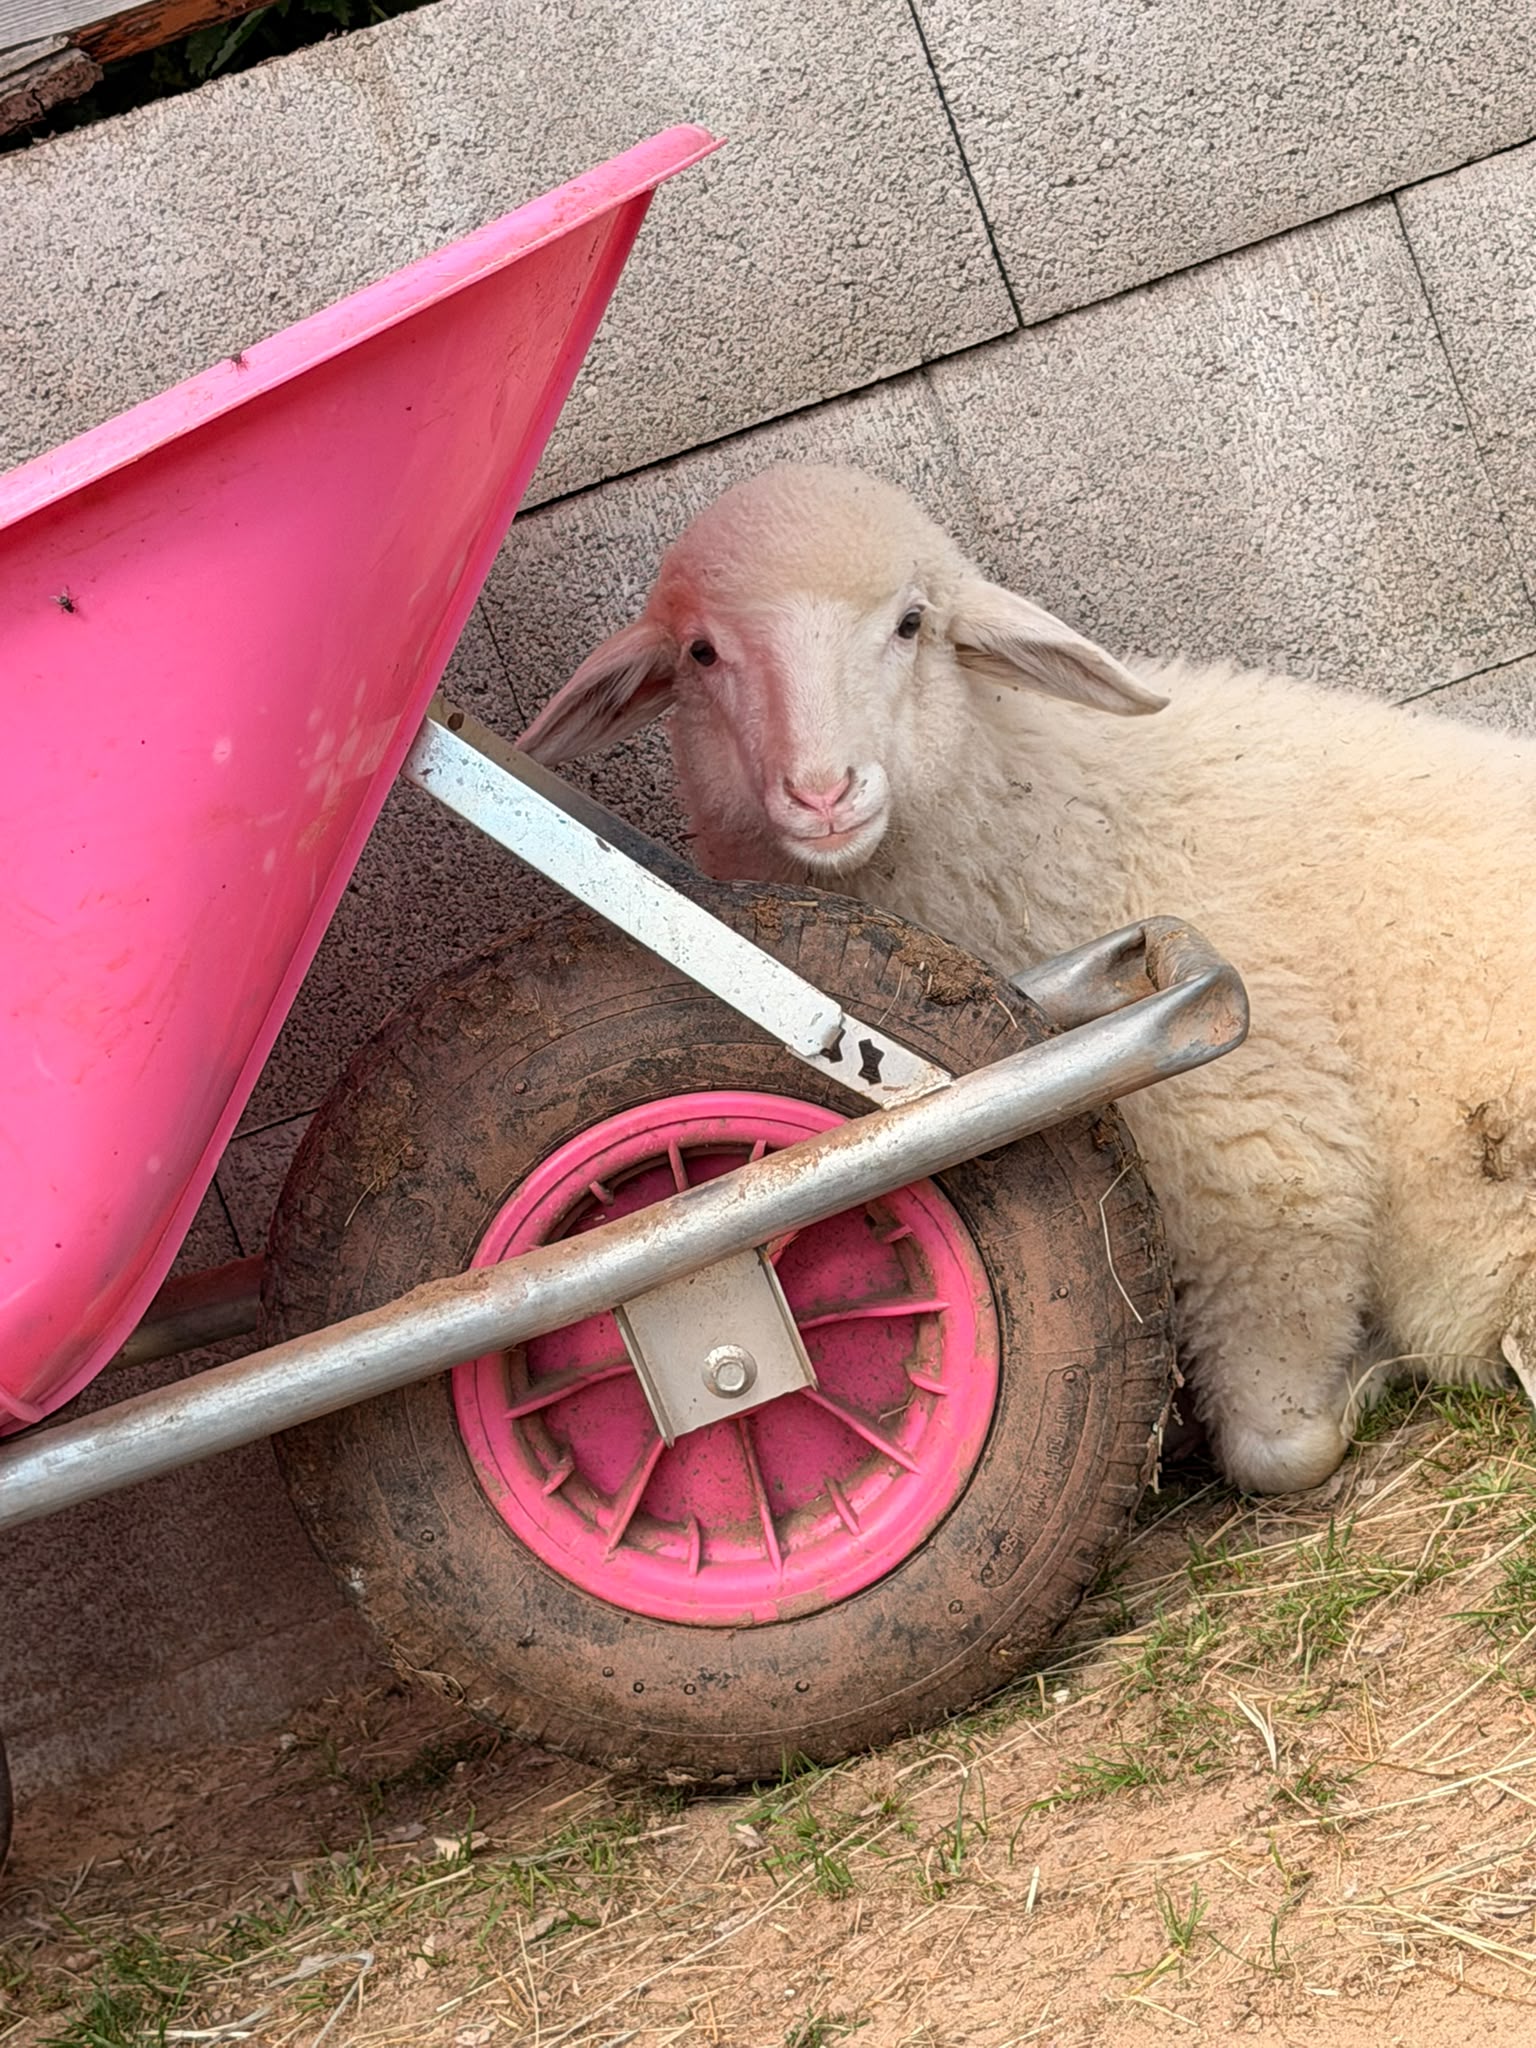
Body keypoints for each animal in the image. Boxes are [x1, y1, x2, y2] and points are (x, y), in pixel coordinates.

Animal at [517, 461, 1536, 1495]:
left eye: (911, 623)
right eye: (702, 652)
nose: (823, 794)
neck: (1046, 810)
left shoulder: (1258, 1172)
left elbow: (1280, 1445)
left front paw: (1355, 1381)